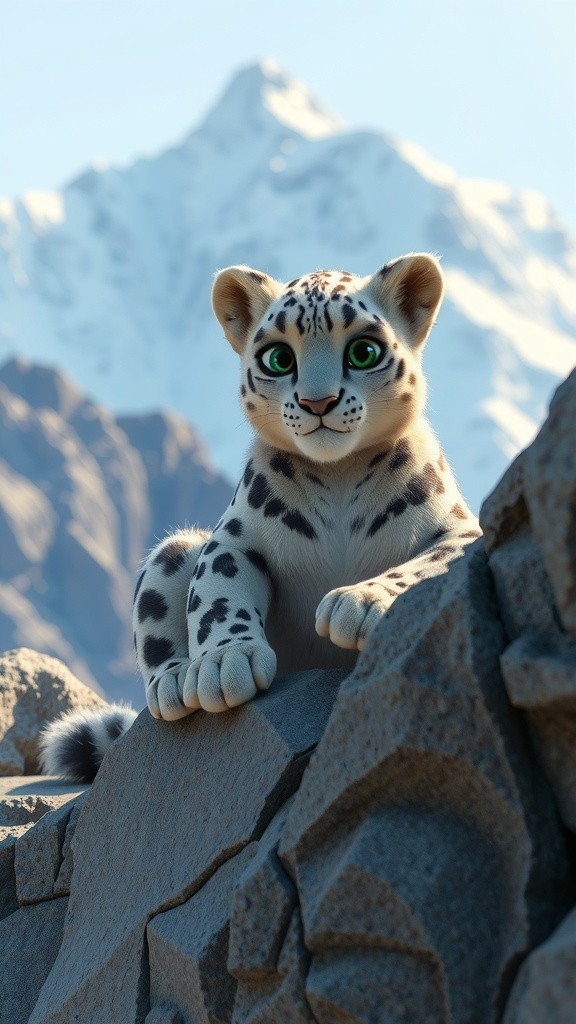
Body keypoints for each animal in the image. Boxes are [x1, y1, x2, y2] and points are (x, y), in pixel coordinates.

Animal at [40, 251, 480, 780]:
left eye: (363, 351)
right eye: (279, 358)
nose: (317, 401)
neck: (339, 477)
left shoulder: (458, 528)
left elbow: (425, 565)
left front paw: (357, 602)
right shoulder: (236, 536)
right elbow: (216, 592)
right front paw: (224, 664)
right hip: (174, 550)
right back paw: (175, 682)